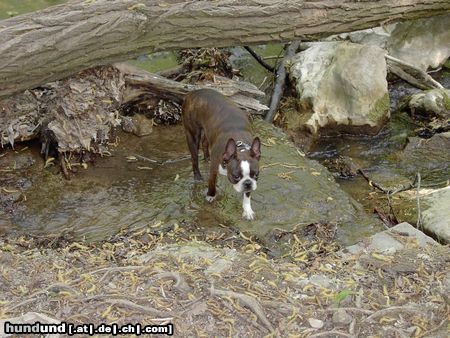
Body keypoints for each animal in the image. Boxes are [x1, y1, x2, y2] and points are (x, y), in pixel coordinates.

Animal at [182, 88, 260, 219]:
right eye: (236, 176)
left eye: (256, 175)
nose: (247, 183)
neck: (239, 147)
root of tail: (193, 92)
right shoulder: (213, 170)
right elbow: (212, 183)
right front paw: (210, 196)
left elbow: (247, 195)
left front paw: (247, 210)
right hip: (192, 134)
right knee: (194, 158)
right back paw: (197, 176)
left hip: (207, 130)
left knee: (205, 142)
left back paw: (207, 157)